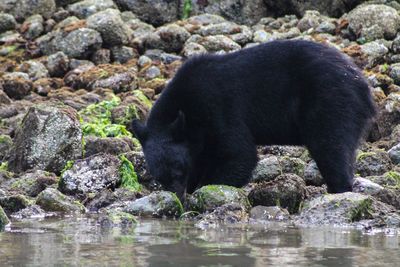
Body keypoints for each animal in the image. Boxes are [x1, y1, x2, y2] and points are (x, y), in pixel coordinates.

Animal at [130, 40, 376, 199]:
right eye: (159, 178)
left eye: (177, 171)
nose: (178, 198)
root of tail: (362, 85)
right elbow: (202, 157)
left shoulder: (219, 109)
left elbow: (239, 154)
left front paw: (205, 189)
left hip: (331, 102)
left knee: (330, 147)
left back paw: (339, 190)